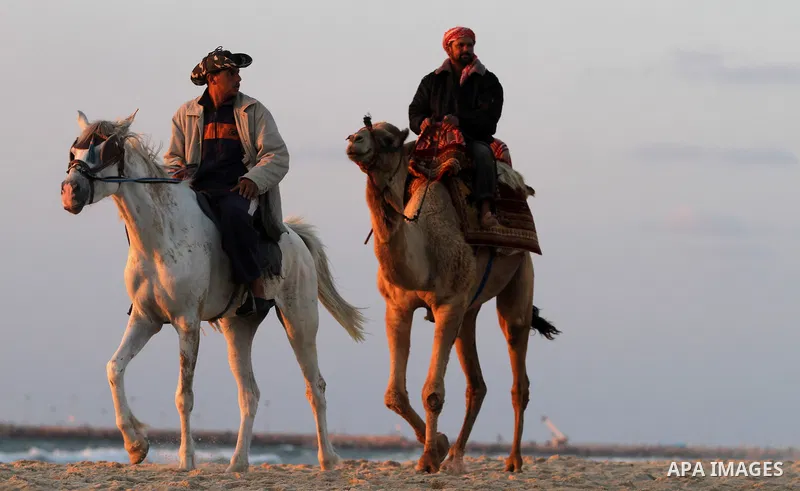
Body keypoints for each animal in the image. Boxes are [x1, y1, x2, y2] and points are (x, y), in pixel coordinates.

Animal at [345, 119, 560, 474]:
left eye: (388, 140)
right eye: (359, 129)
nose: (354, 140)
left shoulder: (447, 305)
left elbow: (432, 392)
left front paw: (429, 457)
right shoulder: (397, 307)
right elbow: (394, 395)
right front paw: (440, 446)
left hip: (519, 275)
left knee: (518, 368)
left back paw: (513, 461)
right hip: (468, 310)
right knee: (477, 383)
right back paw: (456, 456)